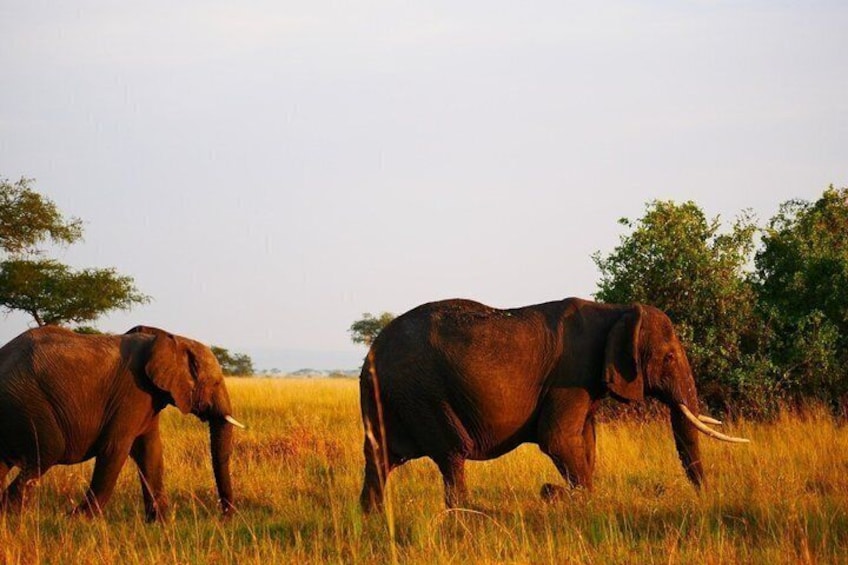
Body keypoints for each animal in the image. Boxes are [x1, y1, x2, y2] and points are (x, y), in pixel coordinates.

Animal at [0, 325, 246, 521]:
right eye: (216, 383)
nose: (225, 518)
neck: (173, 340)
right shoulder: (132, 392)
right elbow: (115, 449)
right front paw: (77, 520)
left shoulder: (150, 399)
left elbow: (151, 452)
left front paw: (161, 524)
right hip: (26, 401)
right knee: (48, 451)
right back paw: (13, 517)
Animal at [359, 298, 748, 512]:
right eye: (668, 358)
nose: (704, 499)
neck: (616, 311)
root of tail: (371, 352)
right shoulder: (571, 372)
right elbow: (558, 440)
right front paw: (571, 497)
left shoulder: (586, 382)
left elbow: (585, 441)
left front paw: (575, 496)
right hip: (421, 392)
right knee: (453, 453)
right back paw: (468, 516)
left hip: (390, 395)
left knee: (380, 457)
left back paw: (370, 517)